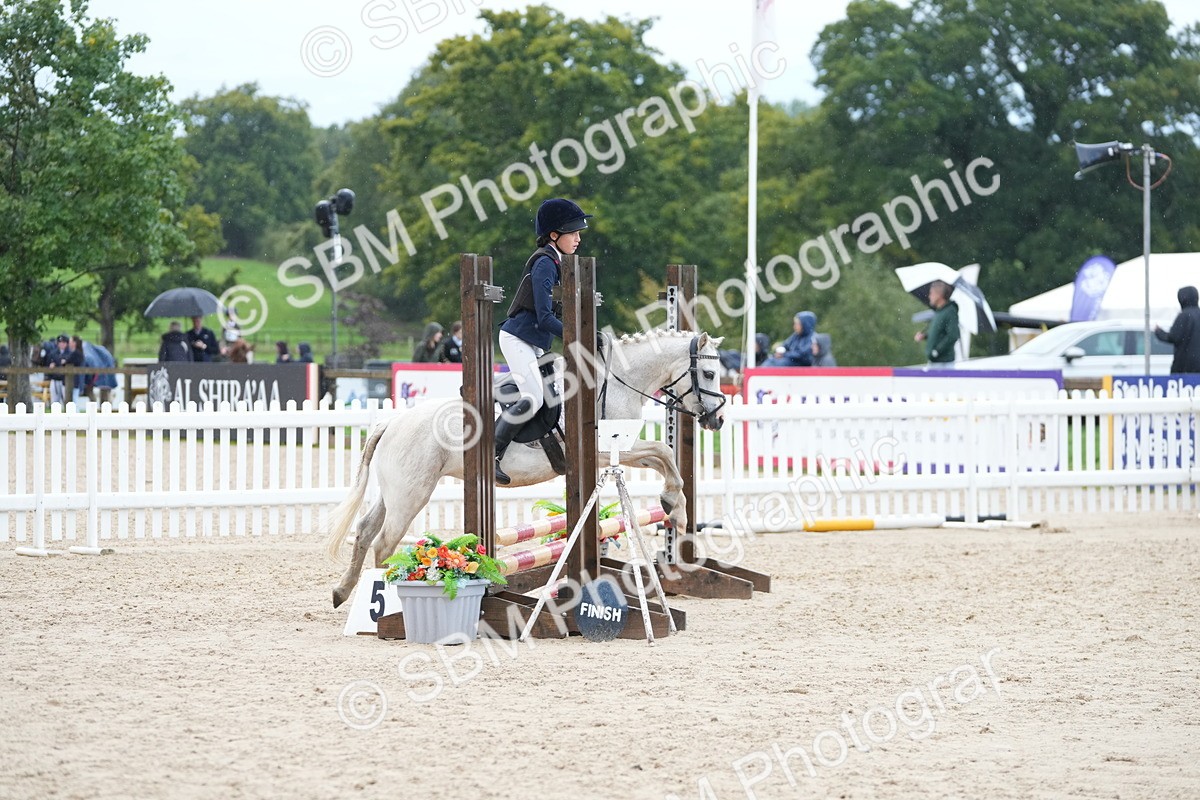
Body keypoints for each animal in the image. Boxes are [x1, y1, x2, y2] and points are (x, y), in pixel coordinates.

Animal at [325, 330, 727, 608]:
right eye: (708, 373)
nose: (718, 420)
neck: (614, 384)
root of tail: (392, 422)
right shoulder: (606, 451)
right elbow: (664, 452)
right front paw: (676, 509)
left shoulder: (619, 452)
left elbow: (663, 456)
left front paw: (673, 507)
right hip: (411, 494)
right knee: (384, 542)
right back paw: (385, 596)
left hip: (395, 493)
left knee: (365, 531)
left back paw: (343, 591)